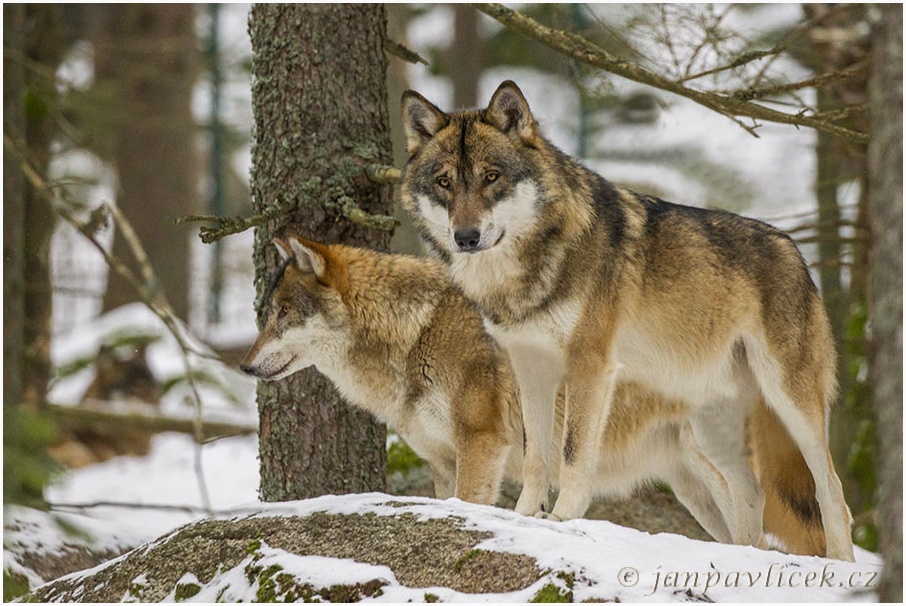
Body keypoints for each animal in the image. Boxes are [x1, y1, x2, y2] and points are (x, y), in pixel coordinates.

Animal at [240, 235, 828, 560]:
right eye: (266, 315)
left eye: (283, 314)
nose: (244, 366)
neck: (416, 329)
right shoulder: (441, 463)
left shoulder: (482, 443)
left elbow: (474, 505)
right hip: (692, 490)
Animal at [400, 83, 852, 564]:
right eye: (445, 182)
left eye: (491, 176)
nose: (466, 237)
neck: (526, 273)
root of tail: (796, 252)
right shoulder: (530, 368)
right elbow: (536, 455)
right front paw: (524, 519)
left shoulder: (590, 365)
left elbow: (572, 454)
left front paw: (562, 520)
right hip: (710, 427)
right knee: (752, 493)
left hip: (790, 404)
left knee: (831, 490)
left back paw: (841, 563)